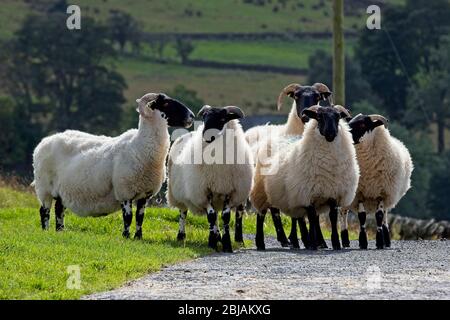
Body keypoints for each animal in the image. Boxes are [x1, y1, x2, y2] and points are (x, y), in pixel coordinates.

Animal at [31, 92, 193, 238]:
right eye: (166, 104)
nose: (191, 116)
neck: (139, 145)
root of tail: (44, 142)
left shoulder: (145, 194)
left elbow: (140, 218)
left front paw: (138, 237)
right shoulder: (124, 191)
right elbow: (128, 217)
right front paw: (126, 236)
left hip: (61, 191)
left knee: (59, 210)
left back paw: (60, 231)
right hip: (44, 188)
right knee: (44, 211)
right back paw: (46, 231)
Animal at [168, 105, 255, 252]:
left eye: (222, 119)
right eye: (204, 117)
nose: (206, 136)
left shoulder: (230, 191)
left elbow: (225, 217)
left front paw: (226, 244)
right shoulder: (204, 191)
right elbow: (211, 216)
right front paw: (212, 243)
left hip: (234, 195)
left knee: (235, 216)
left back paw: (233, 239)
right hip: (180, 193)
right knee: (183, 213)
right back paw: (181, 235)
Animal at [244, 82, 332, 248]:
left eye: (317, 97)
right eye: (296, 96)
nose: (305, 115)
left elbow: (310, 215)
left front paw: (318, 241)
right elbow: (298, 215)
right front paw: (302, 239)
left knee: (274, 209)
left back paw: (285, 238)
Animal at [250, 105, 358, 250]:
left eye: (338, 117)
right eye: (319, 117)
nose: (331, 133)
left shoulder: (332, 194)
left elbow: (331, 217)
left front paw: (334, 243)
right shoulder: (307, 195)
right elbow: (312, 218)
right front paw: (313, 243)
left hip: (284, 195)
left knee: (286, 214)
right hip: (262, 191)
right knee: (261, 215)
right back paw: (261, 242)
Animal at [344, 114, 414, 249]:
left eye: (362, 124)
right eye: (350, 121)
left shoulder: (382, 193)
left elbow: (379, 216)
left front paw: (380, 241)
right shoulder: (359, 193)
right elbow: (362, 216)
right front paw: (363, 242)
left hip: (389, 194)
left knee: (385, 215)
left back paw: (386, 239)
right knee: (343, 214)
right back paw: (344, 240)